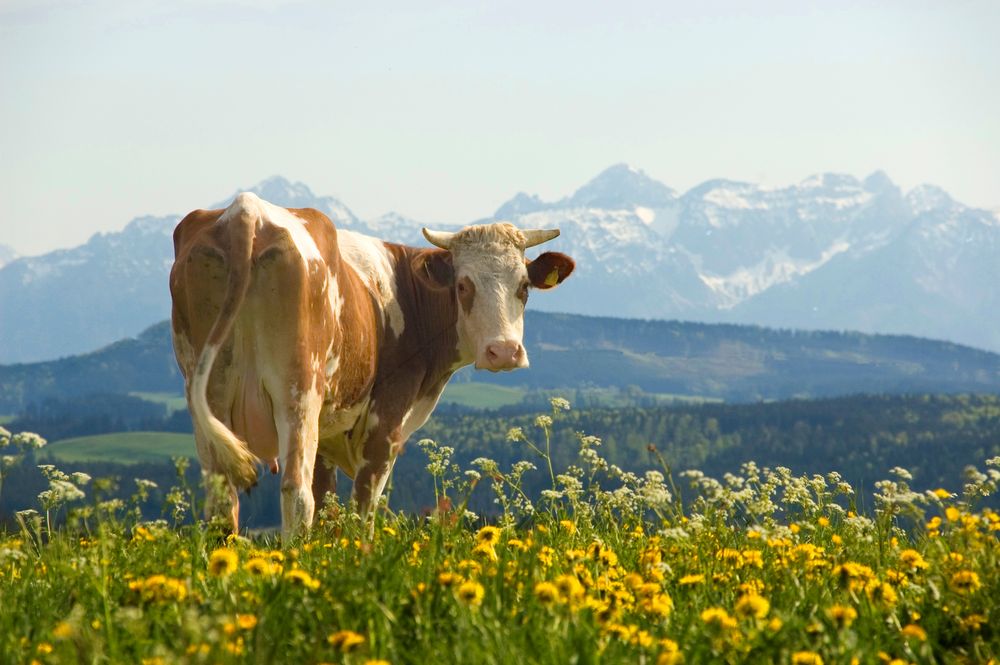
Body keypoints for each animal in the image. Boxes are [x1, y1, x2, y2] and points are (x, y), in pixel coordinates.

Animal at [169, 191, 576, 536]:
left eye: (523, 286)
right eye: (463, 285)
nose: (504, 352)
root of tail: (246, 210)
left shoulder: (328, 431)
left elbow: (329, 509)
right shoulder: (386, 421)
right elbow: (361, 511)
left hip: (206, 395)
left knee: (223, 503)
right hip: (298, 390)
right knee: (296, 494)